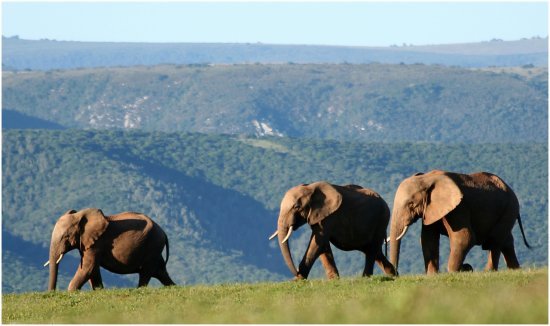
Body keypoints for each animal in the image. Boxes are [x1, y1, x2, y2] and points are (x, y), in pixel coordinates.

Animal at [45, 208, 176, 292]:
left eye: (65, 236)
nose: (52, 293)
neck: (80, 215)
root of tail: (164, 233)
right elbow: (93, 270)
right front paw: (99, 291)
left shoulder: (96, 243)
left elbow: (88, 267)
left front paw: (71, 292)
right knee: (160, 271)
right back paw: (173, 286)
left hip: (153, 245)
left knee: (146, 272)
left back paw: (139, 290)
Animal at [268, 181, 396, 280]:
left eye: (297, 207)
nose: (296, 272)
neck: (310, 187)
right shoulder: (319, 216)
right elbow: (322, 244)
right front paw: (333, 280)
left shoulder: (330, 216)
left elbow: (317, 242)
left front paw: (297, 280)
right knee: (374, 251)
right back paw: (394, 275)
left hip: (382, 219)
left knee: (372, 250)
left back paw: (366, 278)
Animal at [390, 171, 532, 276]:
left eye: (411, 204)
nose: (396, 274)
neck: (427, 178)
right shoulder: (431, 210)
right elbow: (428, 239)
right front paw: (432, 275)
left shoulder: (459, 207)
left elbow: (465, 238)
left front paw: (456, 271)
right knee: (506, 241)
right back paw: (515, 269)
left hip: (509, 208)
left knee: (494, 241)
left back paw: (489, 271)